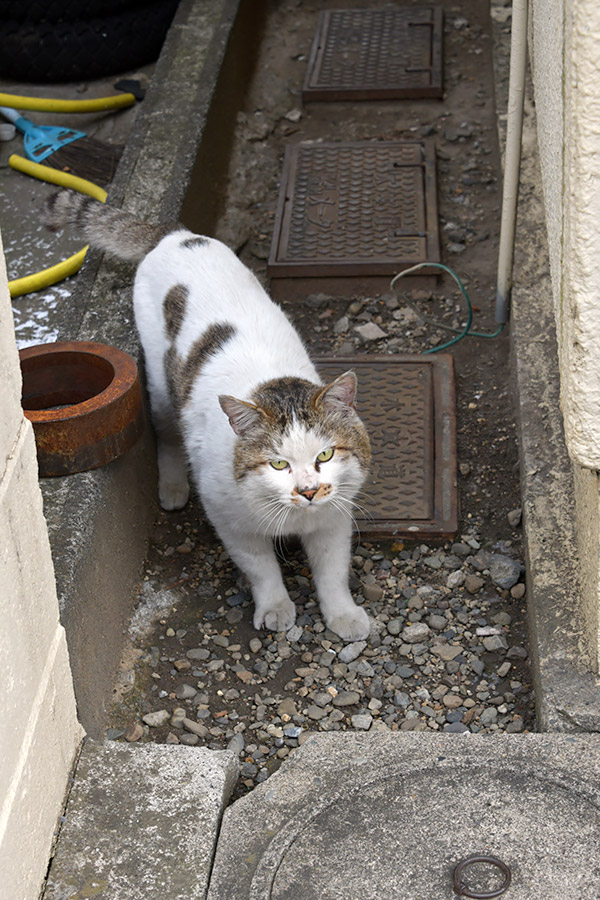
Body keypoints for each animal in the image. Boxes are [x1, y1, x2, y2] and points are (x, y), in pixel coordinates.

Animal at [41, 192, 370, 640]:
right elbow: (262, 570)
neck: (293, 517)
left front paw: (343, 615)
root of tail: (175, 235)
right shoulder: (231, 522)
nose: (308, 491)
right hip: (161, 388)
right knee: (166, 435)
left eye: (325, 455)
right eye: (278, 464)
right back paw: (173, 487)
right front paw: (275, 608)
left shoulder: (335, 517)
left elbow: (333, 571)